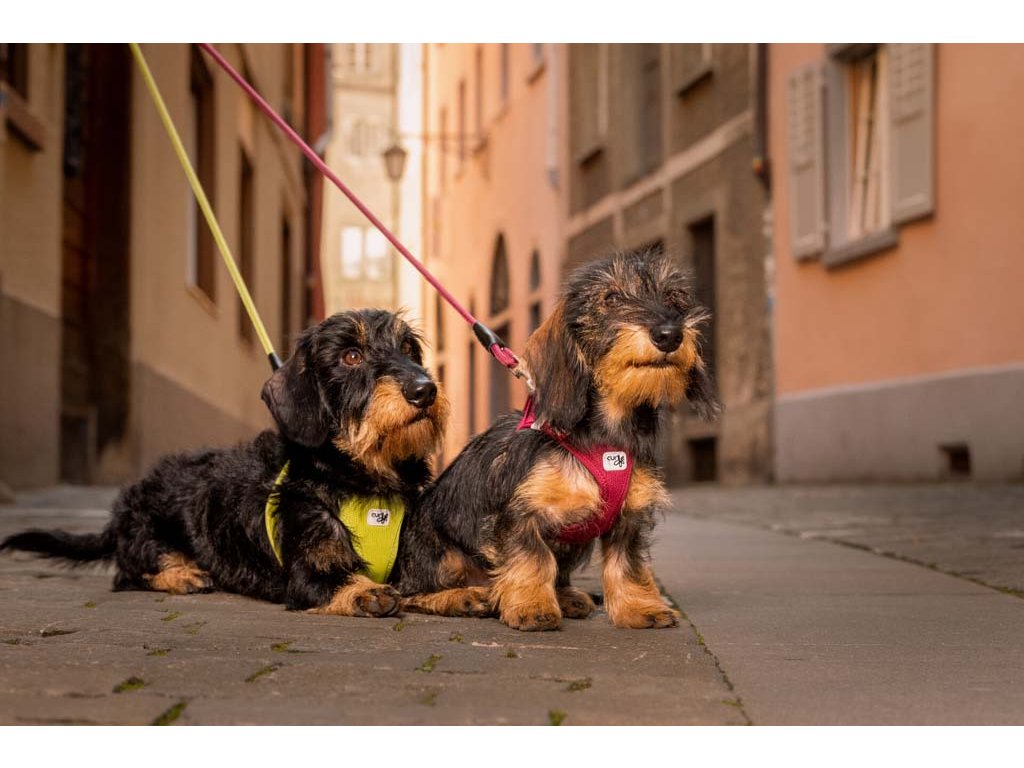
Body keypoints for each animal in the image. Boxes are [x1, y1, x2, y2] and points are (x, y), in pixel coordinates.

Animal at [1, 309, 487, 619]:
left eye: (409, 349)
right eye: (351, 356)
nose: (425, 390)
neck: (365, 481)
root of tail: (120, 511)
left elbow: (420, 586)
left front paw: (460, 593)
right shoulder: (306, 574)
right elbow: (344, 582)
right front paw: (365, 592)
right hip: (146, 534)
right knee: (128, 572)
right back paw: (182, 575)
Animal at [398, 250, 719, 630]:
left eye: (674, 298)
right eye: (611, 298)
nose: (669, 334)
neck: (607, 436)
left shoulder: (629, 517)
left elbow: (628, 564)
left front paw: (639, 607)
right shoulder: (520, 513)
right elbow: (534, 559)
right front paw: (532, 606)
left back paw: (567, 597)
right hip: (439, 555)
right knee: (414, 593)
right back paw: (464, 598)